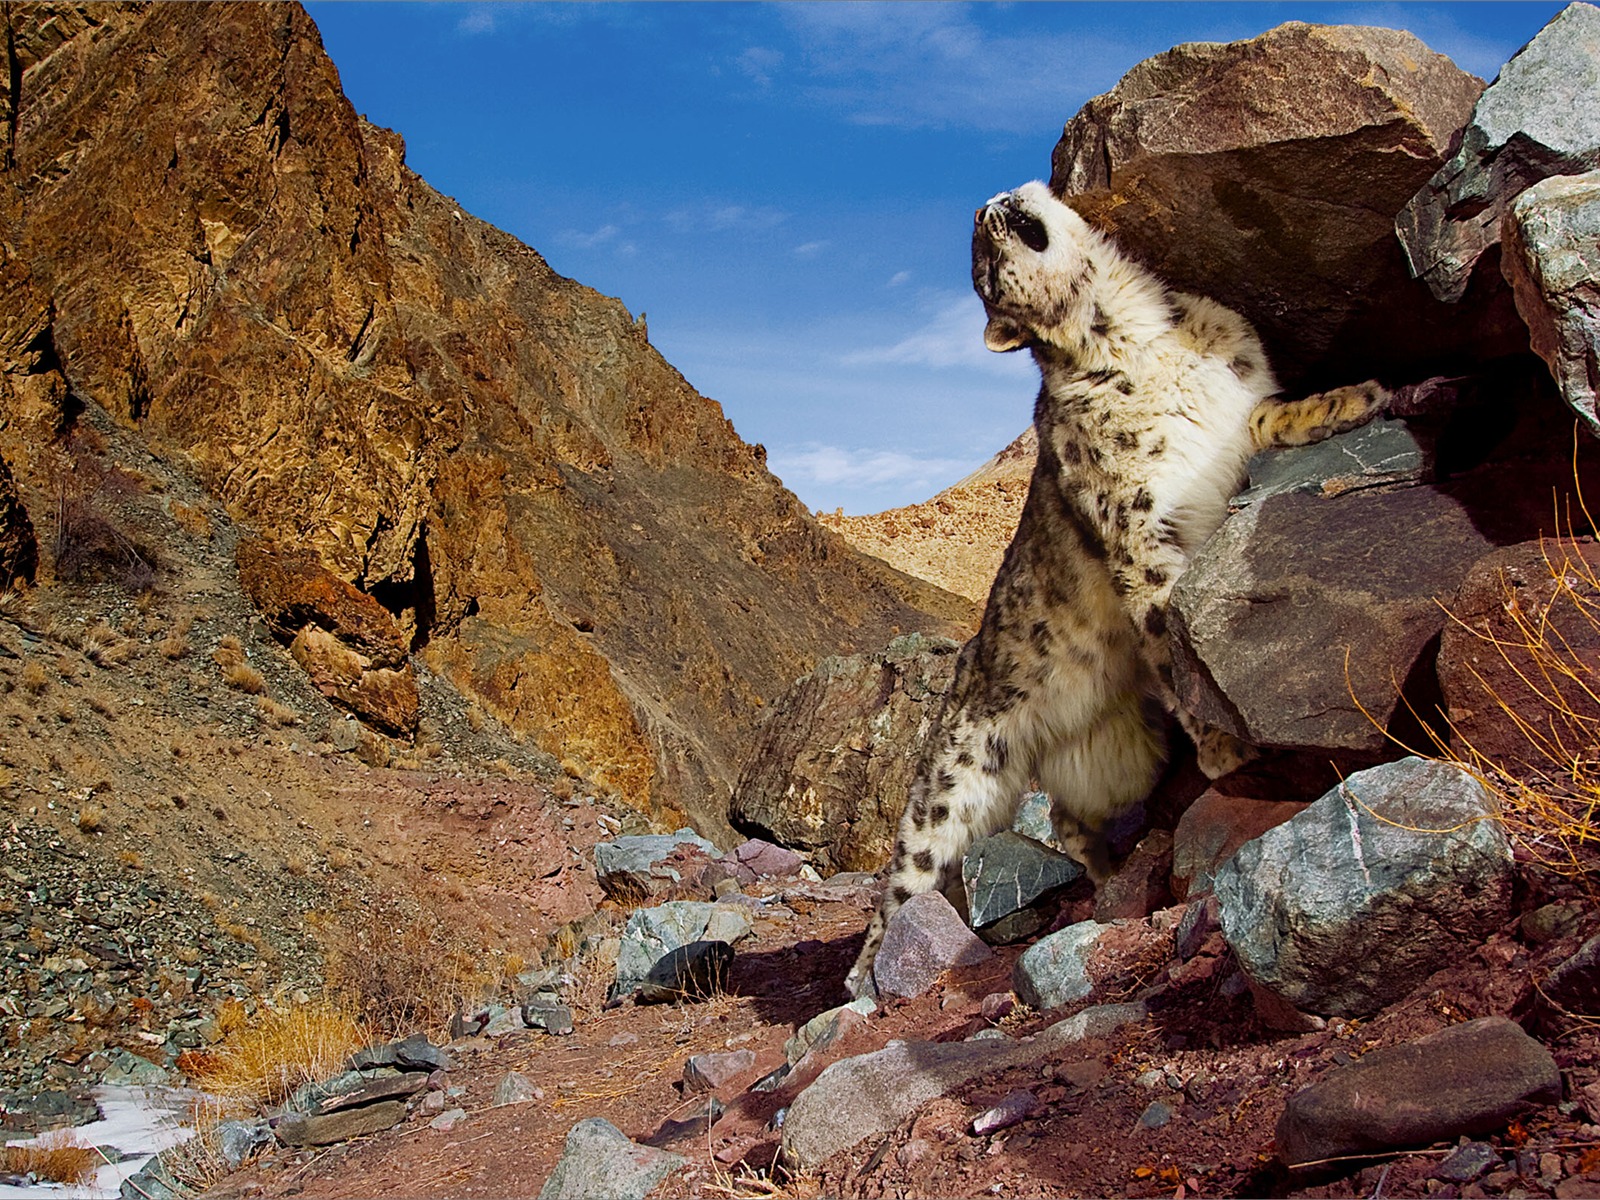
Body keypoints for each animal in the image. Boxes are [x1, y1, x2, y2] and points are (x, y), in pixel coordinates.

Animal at [844, 183, 1382, 998]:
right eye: (982, 271)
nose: (984, 209)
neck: (1140, 333)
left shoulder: (1235, 417)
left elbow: (1272, 415)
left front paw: (1356, 398)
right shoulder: (1135, 530)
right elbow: (1165, 623)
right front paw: (1226, 748)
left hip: (1119, 754)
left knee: (1070, 818)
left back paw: (1105, 871)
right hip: (949, 786)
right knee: (906, 877)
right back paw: (863, 983)